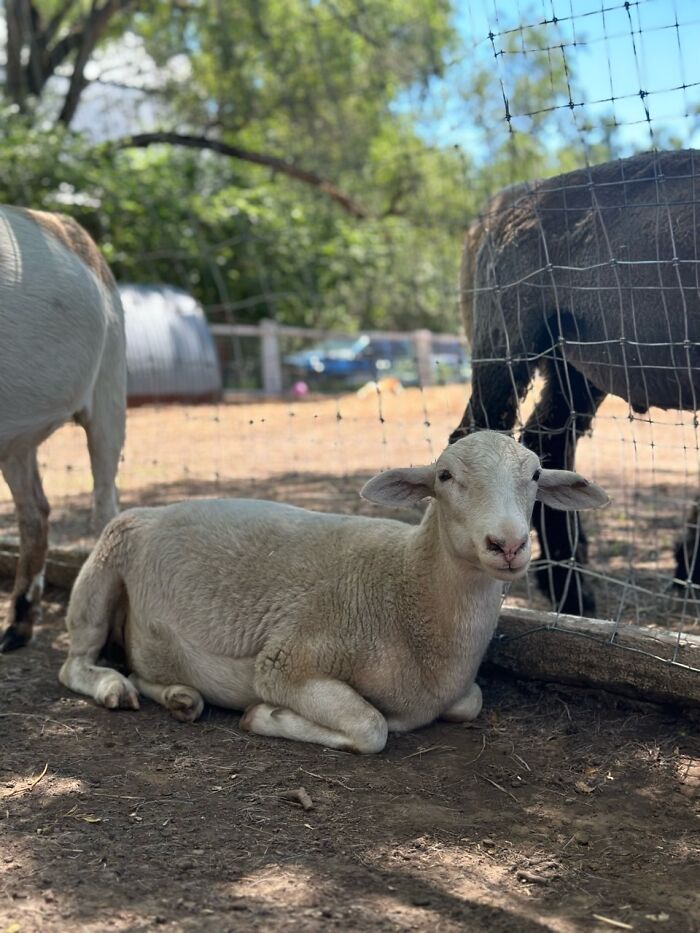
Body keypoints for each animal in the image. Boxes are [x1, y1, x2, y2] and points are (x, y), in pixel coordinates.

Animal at [58, 432, 607, 752]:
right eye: (444, 476)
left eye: (535, 475)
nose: (508, 543)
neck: (405, 587)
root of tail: (157, 510)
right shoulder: (286, 662)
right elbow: (371, 728)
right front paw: (265, 716)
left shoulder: (458, 691)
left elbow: (469, 701)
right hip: (104, 564)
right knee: (75, 662)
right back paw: (112, 688)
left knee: (140, 667)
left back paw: (179, 696)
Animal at [450, 148, 700, 616]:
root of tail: (498, 207)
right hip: (506, 347)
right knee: (476, 436)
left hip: (574, 367)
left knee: (545, 442)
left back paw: (570, 591)